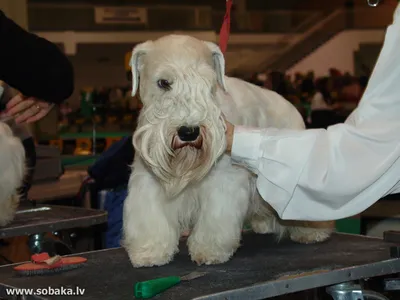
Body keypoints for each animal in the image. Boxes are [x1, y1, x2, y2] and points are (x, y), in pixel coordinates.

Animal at [122, 35, 334, 268]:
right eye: (163, 82)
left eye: (208, 83)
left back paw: (312, 232)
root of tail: (291, 106)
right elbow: (151, 218)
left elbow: (215, 218)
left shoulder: (224, 181)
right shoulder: (147, 180)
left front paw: (209, 250)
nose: (189, 131)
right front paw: (149, 251)